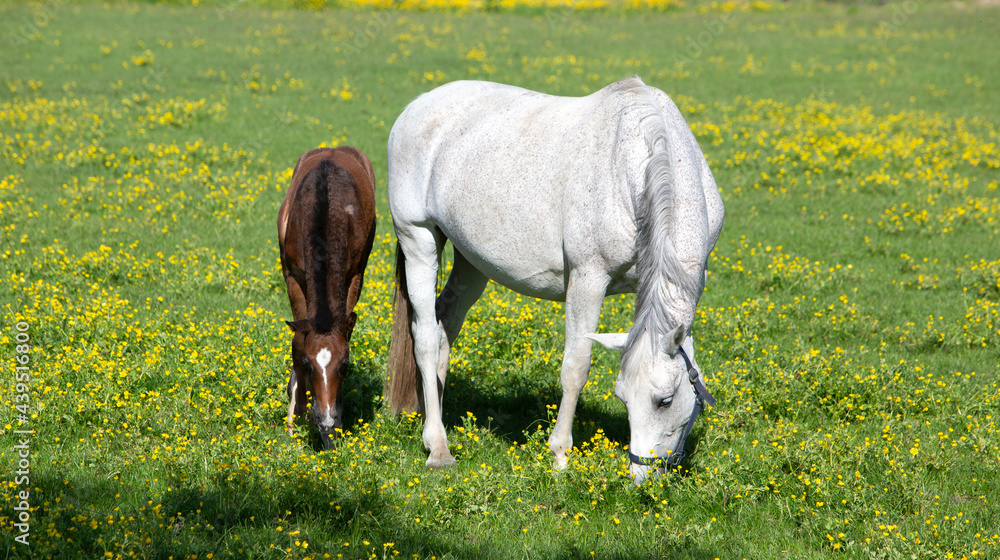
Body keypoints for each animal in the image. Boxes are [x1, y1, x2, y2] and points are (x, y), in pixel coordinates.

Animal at [278, 146, 376, 450]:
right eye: (309, 365)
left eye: (344, 366)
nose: (327, 419)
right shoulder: (292, 275)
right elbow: (298, 341)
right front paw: (295, 417)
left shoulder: (354, 276)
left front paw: (334, 427)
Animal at [384, 77, 724, 482]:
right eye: (626, 398)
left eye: (664, 401)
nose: (642, 477)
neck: (639, 163)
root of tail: (416, 106)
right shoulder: (588, 280)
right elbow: (576, 367)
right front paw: (560, 454)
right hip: (418, 241)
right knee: (424, 338)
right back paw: (437, 446)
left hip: (471, 261)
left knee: (444, 326)